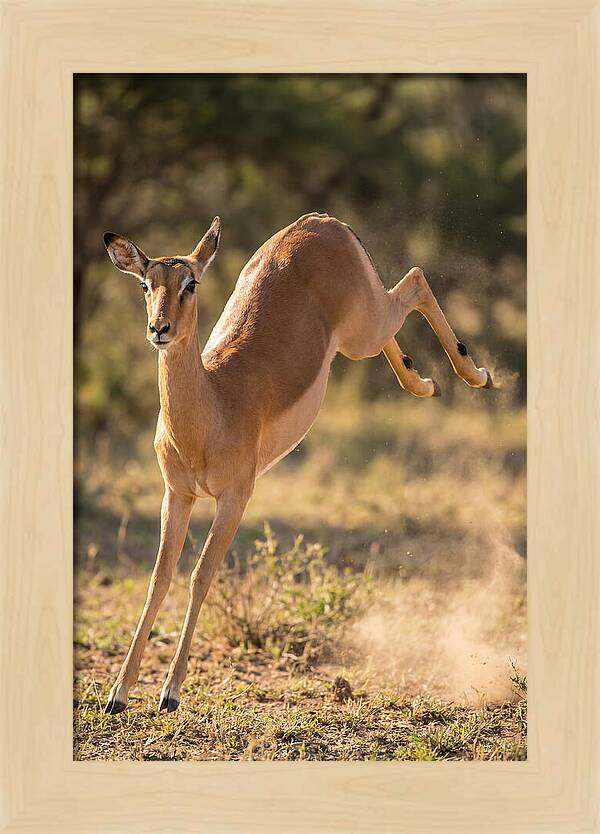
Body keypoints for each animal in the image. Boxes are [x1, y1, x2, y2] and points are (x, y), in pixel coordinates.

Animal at [102, 212, 493, 714]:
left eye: (190, 283)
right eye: (146, 284)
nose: (159, 329)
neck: (212, 406)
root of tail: (321, 220)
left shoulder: (235, 498)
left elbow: (200, 575)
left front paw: (170, 692)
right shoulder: (178, 495)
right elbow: (158, 579)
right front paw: (117, 693)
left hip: (363, 328)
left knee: (416, 279)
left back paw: (476, 375)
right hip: (359, 334)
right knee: (403, 309)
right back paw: (426, 383)